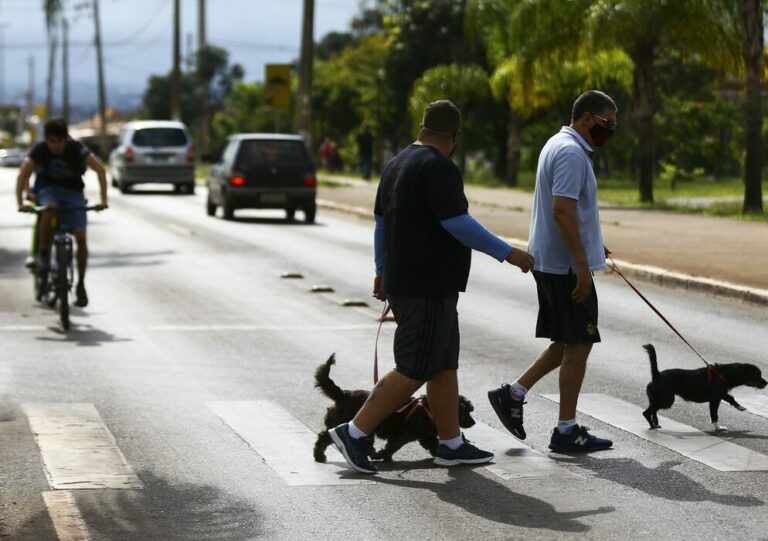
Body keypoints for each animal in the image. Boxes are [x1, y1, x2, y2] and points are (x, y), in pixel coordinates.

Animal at [312, 354, 474, 460]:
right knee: (328, 436)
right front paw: (383, 455)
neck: (429, 410)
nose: (473, 423)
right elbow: (393, 446)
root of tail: (342, 394)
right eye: (467, 412)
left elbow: (433, 444)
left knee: (324, 436)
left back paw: (320, 455)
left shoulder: (426, 436)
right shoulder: (401, 434)